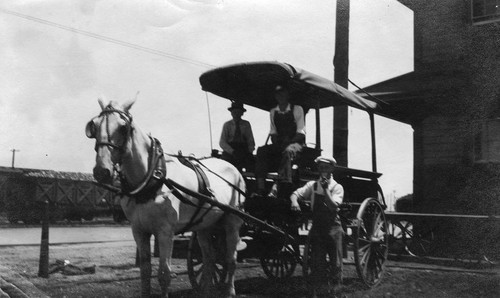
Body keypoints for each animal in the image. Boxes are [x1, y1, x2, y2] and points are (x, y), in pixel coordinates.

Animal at [86, 99, 246, 296]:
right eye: (93, 126)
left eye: (123, 127)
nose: (102, 171)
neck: (152, 180)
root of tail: (235, 169)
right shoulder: (139, 231)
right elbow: (145, 271)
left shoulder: (165, 232)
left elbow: (164, 274)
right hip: (204, 225)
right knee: (209, 258)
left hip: (232, 221)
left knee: (231, 259)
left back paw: (230, 290)